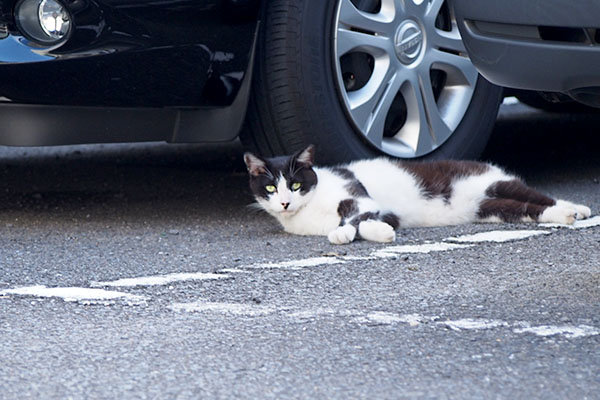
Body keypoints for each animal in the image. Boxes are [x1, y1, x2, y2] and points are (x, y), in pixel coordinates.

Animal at [243, 144, 592, 244]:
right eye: (271, 188)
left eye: (296, 184)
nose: (285, 202)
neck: (310, 209)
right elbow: (357, 225)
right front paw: (367, 233)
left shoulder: (359, 195)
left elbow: (358, 218)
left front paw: (362, 232)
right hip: (491, 208)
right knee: (528, 208)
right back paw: (568, 214)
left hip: (494, 184)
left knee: (541, 197)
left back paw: (576, 209)